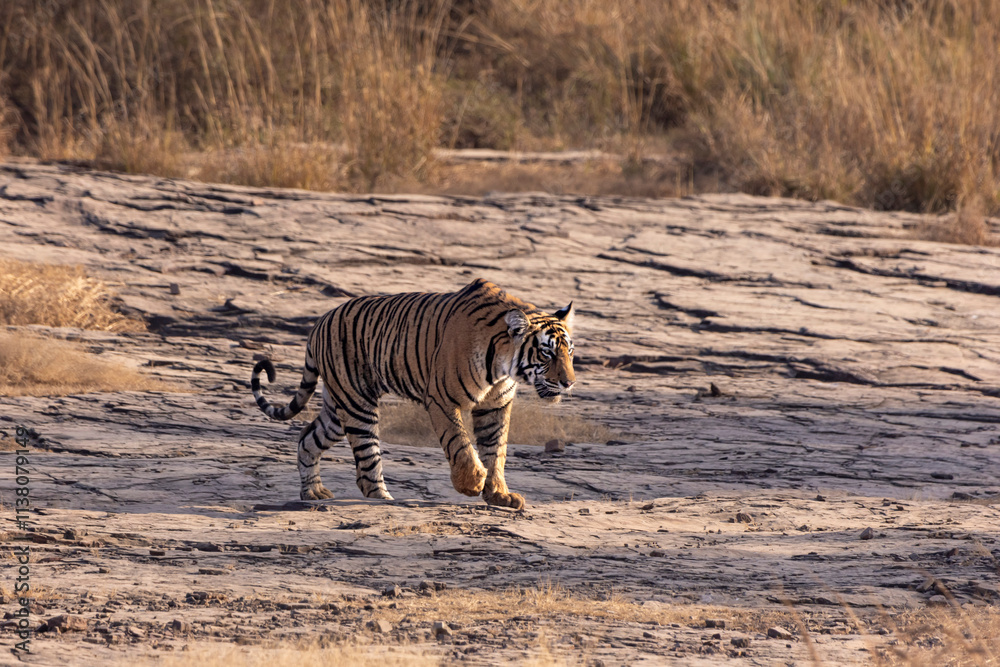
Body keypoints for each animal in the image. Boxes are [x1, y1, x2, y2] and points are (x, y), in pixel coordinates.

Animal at [250, 278, 575, 510]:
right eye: (547, 353)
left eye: (569, 352)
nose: (569, 383)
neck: (502, 367)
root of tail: (320, 321)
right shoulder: (442, 399)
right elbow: (460, 443)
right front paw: (471, 483)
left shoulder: (495, 406)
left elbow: (497, 451)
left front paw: (499, 495)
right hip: (357, 404)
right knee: (367, 460)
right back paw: (384, 499)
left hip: (337, 407)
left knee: (307, 438)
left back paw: (312, 492)